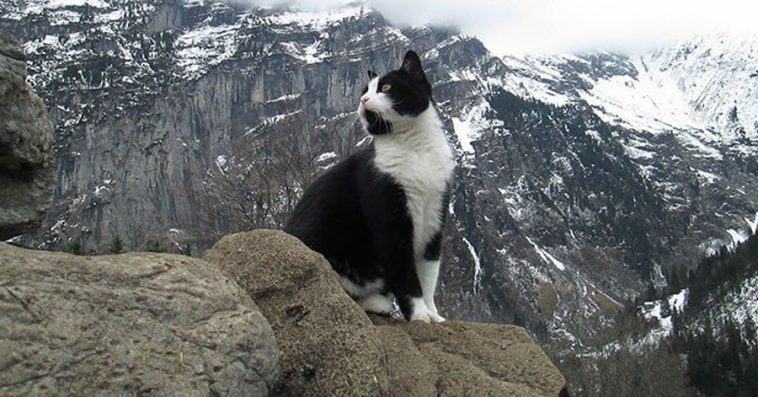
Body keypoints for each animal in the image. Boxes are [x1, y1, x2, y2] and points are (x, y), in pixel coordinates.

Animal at [284, 50, 454, 322]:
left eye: (385, 87)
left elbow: (429, 274)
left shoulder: (435, 214)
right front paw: (419, 315)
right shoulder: (390, 215)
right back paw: (376, 302)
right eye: (365, 90)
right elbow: (405, 273)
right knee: (332, 290)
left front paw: (433, 315)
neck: (415, 148)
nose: (363, 99)